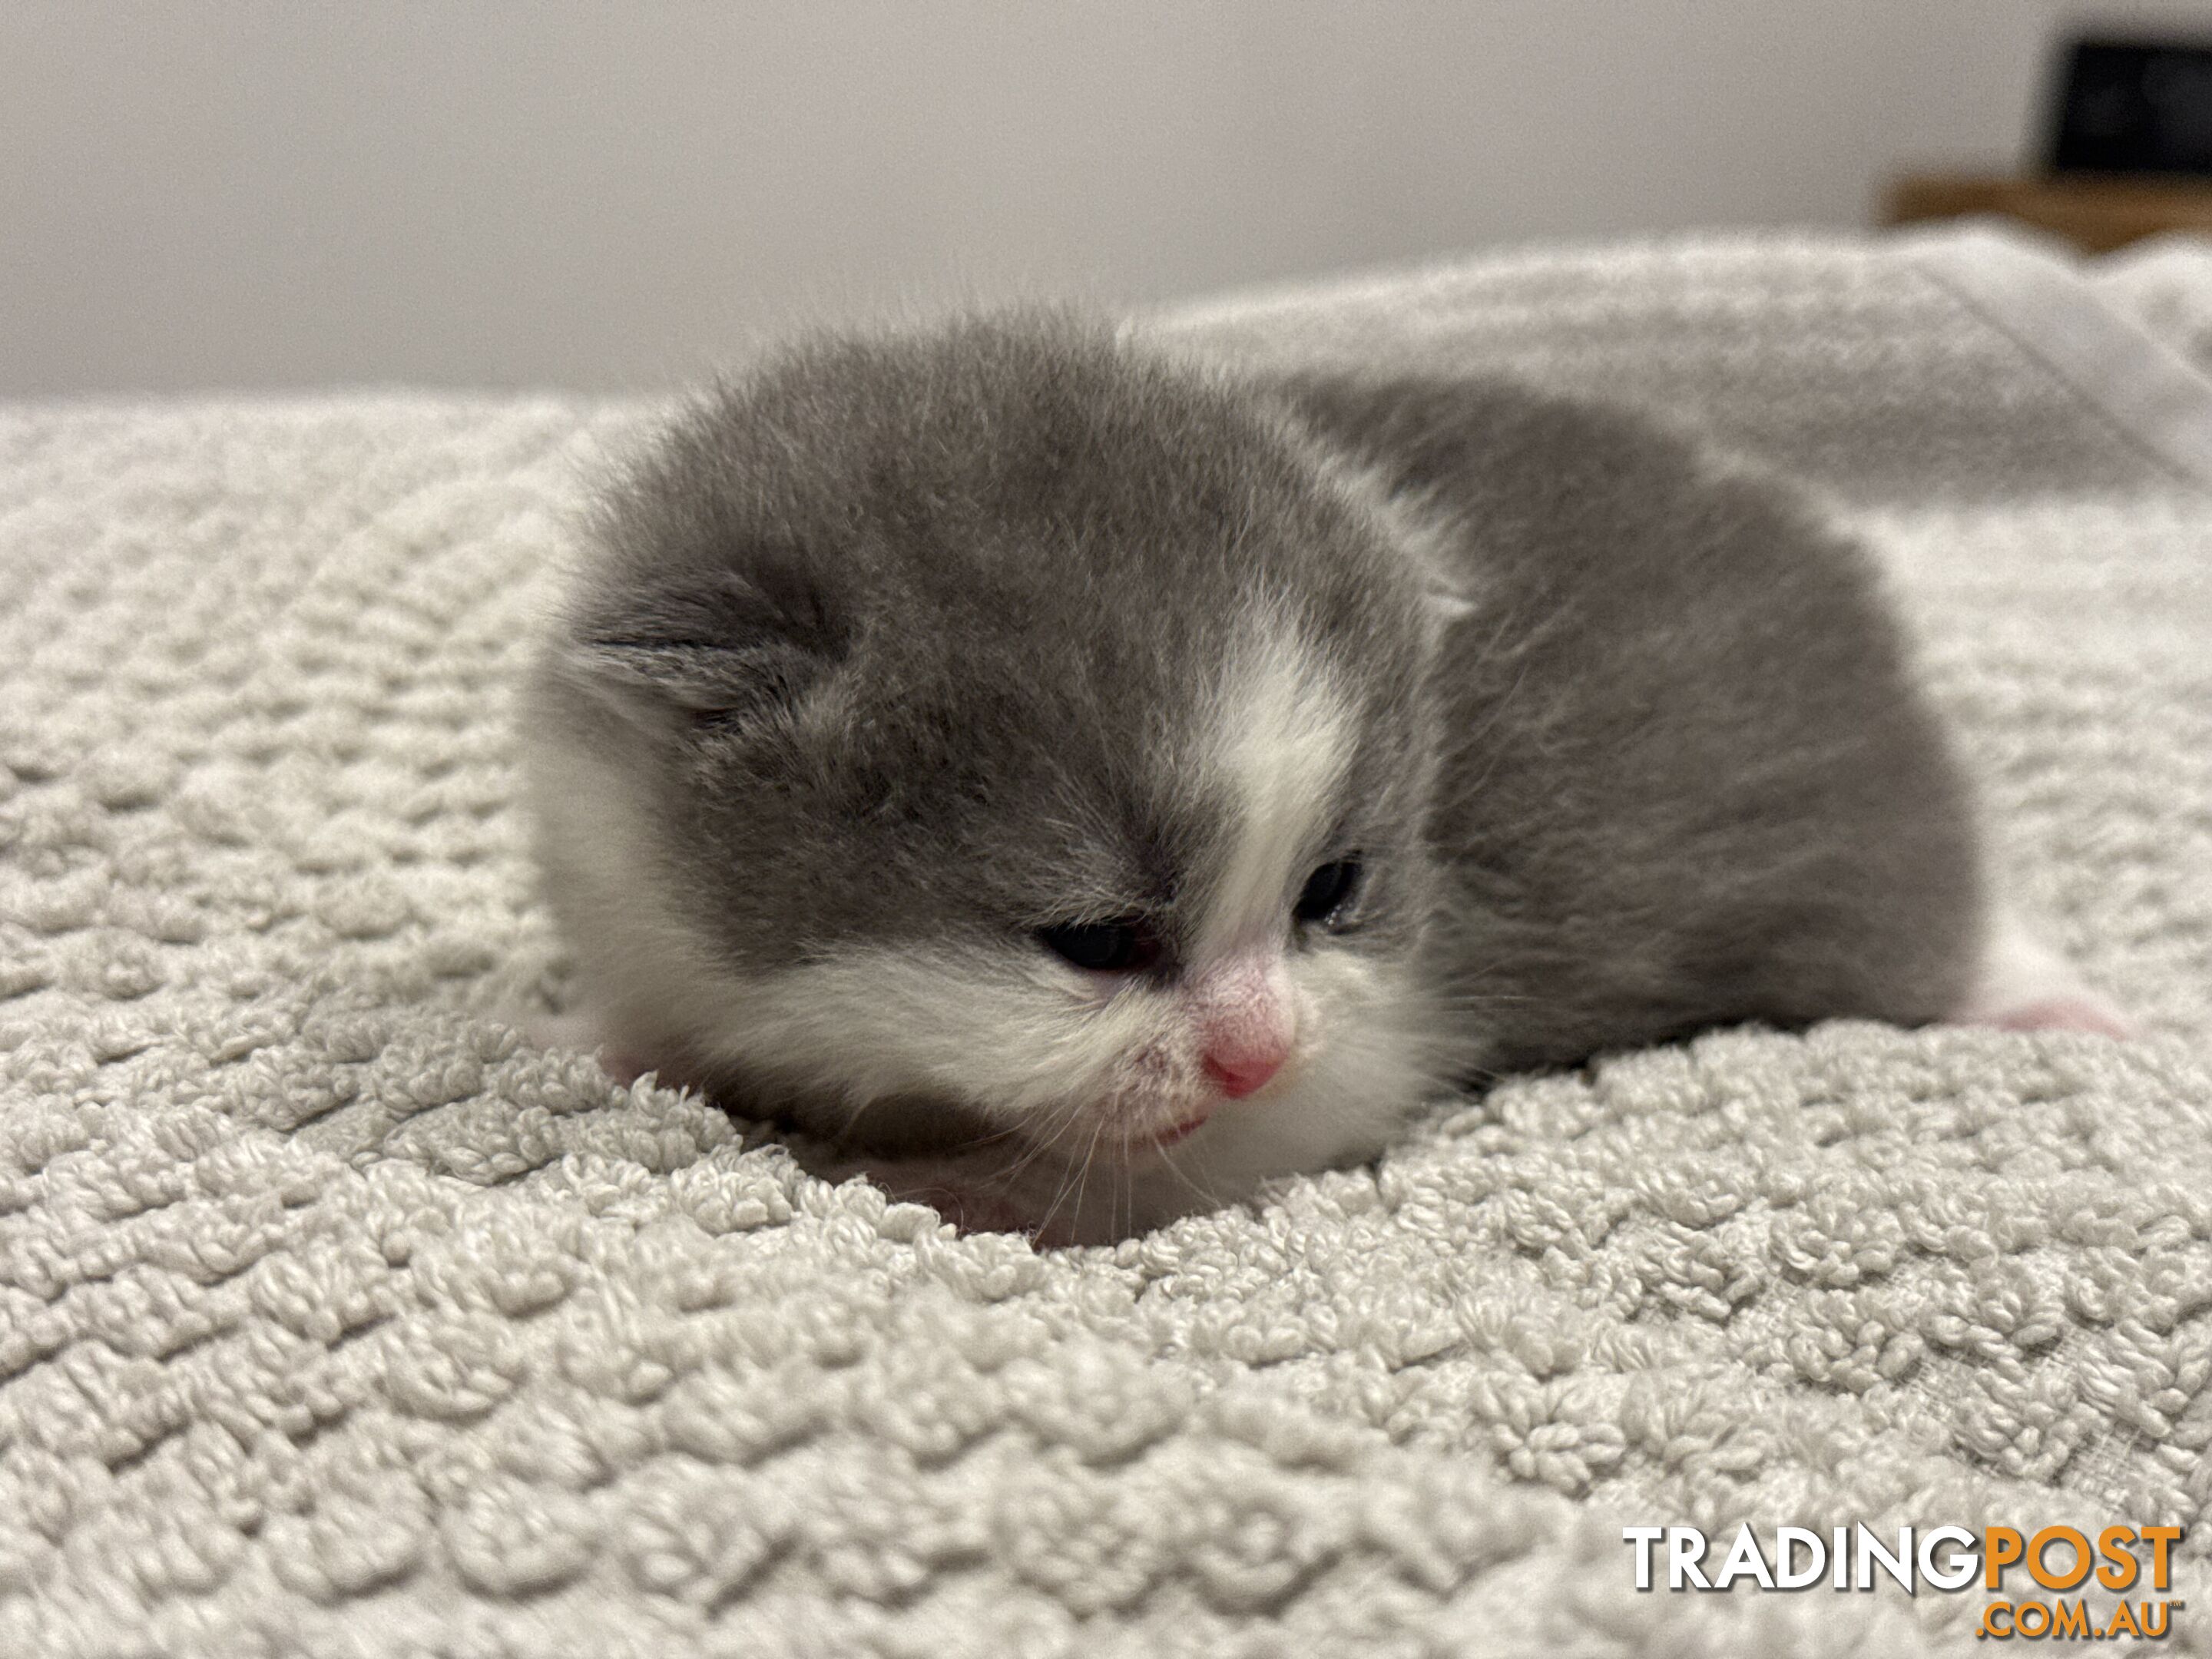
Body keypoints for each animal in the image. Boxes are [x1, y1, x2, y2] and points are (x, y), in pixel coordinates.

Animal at [526, 313, 2132, 1247]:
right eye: (1095, 939)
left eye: (1332, 893)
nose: (1253, 1047)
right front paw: (592, 1044)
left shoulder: (1374, 1030)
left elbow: (1220, 1146)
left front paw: (970, 1186)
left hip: (1870, 856)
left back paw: (2041, 995)